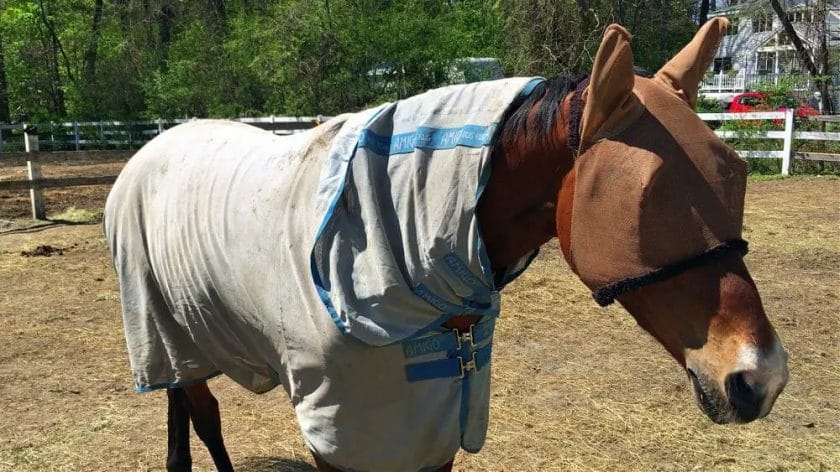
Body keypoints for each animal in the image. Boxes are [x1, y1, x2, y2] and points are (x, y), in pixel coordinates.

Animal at [104, 19, 788, 472]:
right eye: (645, 200)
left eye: (736, 175)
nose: (761, 378)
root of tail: (153, 147)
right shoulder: (340, 431)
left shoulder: (436, 418)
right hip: (172, 342)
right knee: (203, 417)